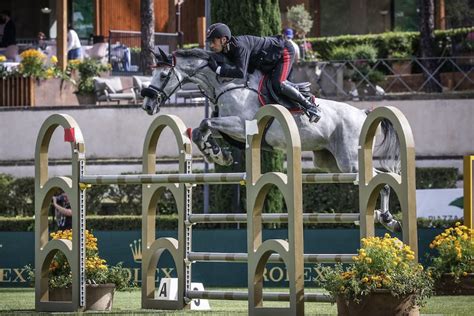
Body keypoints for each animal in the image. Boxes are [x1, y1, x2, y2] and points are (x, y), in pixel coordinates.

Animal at [140, 49, 400, 231]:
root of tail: (362, 113)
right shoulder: (230, 127)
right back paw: (386, 218)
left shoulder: (240, 124)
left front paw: (217, 154)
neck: (227, 84)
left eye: (163, 74)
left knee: (382, 180)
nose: (147, 105)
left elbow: (206, 123)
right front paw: (216, 152)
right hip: (329, 162)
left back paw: (388, 218)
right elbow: (201, 130)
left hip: (350, 161)